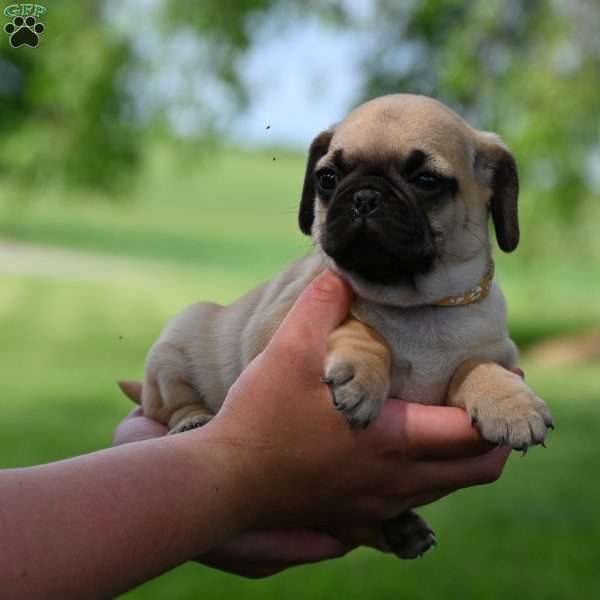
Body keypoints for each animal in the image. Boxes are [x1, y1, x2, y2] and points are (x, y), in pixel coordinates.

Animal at [131, 94, 552, 556]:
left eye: (426, 179)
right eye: (328, 178)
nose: (364, 197)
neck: (416, 303)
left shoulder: (492, 354)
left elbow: (476, 365)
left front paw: (510, 403)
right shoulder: (276, 325)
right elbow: (363, 327)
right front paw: (363, 370)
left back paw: (401, 528)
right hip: (177, 344)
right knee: (169, 404)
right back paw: (192, 421)